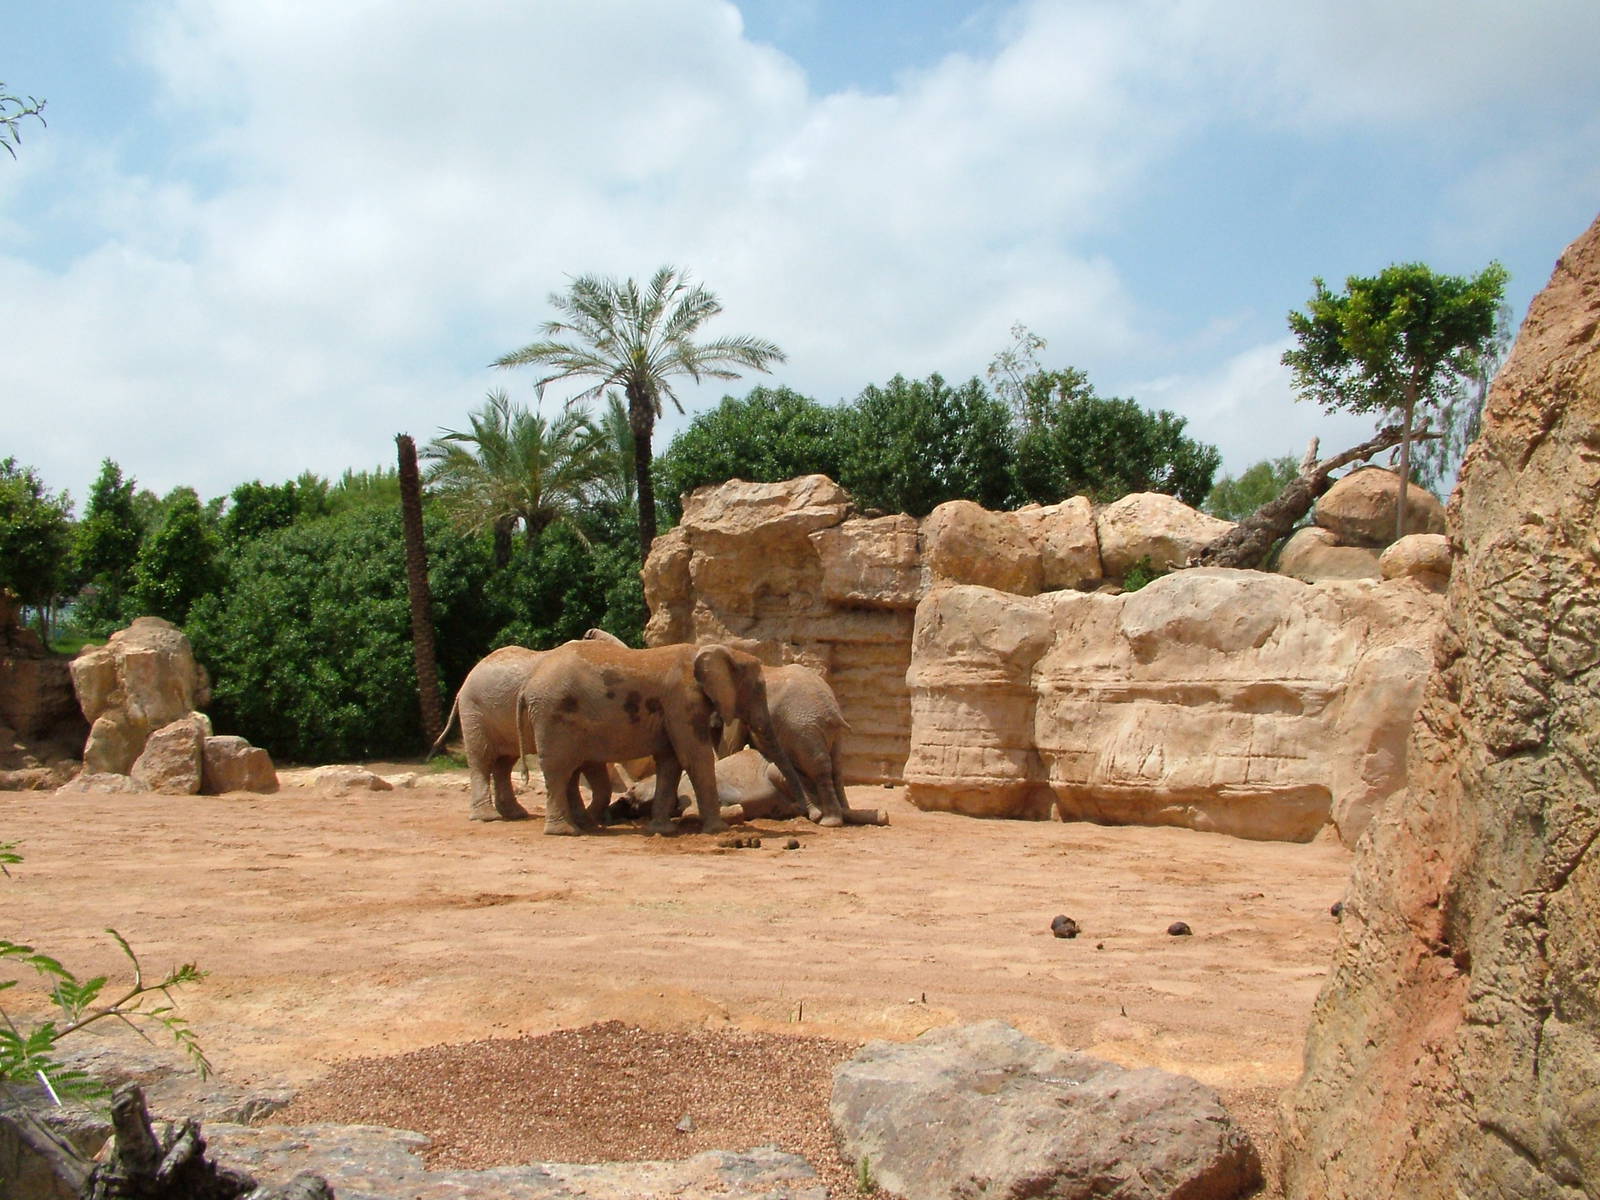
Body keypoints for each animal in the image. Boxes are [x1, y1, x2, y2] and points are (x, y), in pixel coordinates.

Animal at [431, 645, 613, 822]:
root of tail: (463, 685)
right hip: (474, 710)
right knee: (481, 757)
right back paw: (488, 817)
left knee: (505, 762)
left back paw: (515, 814)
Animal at [518, 639, 808, 837]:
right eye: (759, 688)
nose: (808, 814)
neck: (713, 650)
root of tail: (527, 685)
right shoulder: (683, 700)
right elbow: (695, 757)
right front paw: (718, 830)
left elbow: (671, 762)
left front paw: (663, 830)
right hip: (552, 715)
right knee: (559, 768)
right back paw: (565, 832)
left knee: (570, 770)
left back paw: (584, 827)